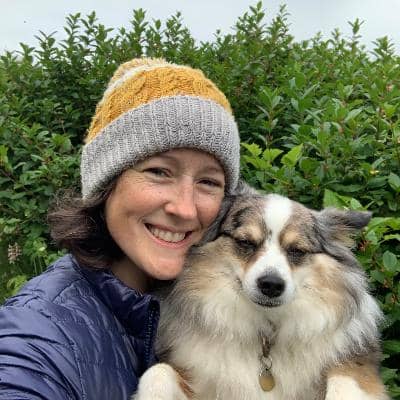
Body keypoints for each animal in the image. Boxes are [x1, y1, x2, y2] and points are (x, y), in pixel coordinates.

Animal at [133, 190, 389, 400]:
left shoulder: (356, 366)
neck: (266, 334)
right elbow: (157, 372)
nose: (271, 285)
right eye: (245, 242)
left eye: (297, 250)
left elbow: (343, 385)